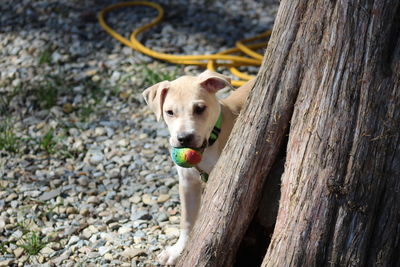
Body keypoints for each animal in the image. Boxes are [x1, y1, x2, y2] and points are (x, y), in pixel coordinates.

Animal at [142, 70, 253, 264]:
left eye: (199, 109)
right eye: (169, 112)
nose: (184, 138)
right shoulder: (188, 183)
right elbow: (187, 220)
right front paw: (176, 251)